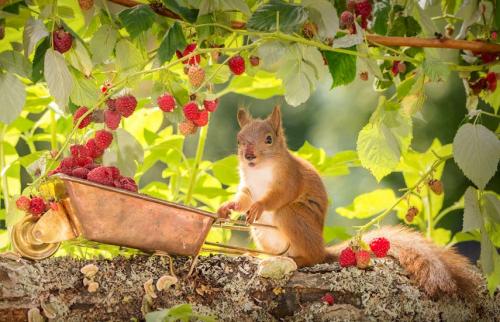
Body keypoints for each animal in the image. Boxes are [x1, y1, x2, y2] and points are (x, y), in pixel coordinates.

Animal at [219, 105, 480, 296]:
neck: (260, 170)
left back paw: (298, 259)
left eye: (269, 139)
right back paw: (263, 257)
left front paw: (259, 206)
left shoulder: (289, 178)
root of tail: (322, 247)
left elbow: (279, 196)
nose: (248, 155)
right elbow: (243, 199)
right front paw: (227, 208)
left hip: (292, 216)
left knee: (312, 256)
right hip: (261, 232)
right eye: (239, 140)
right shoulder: (248, 186)